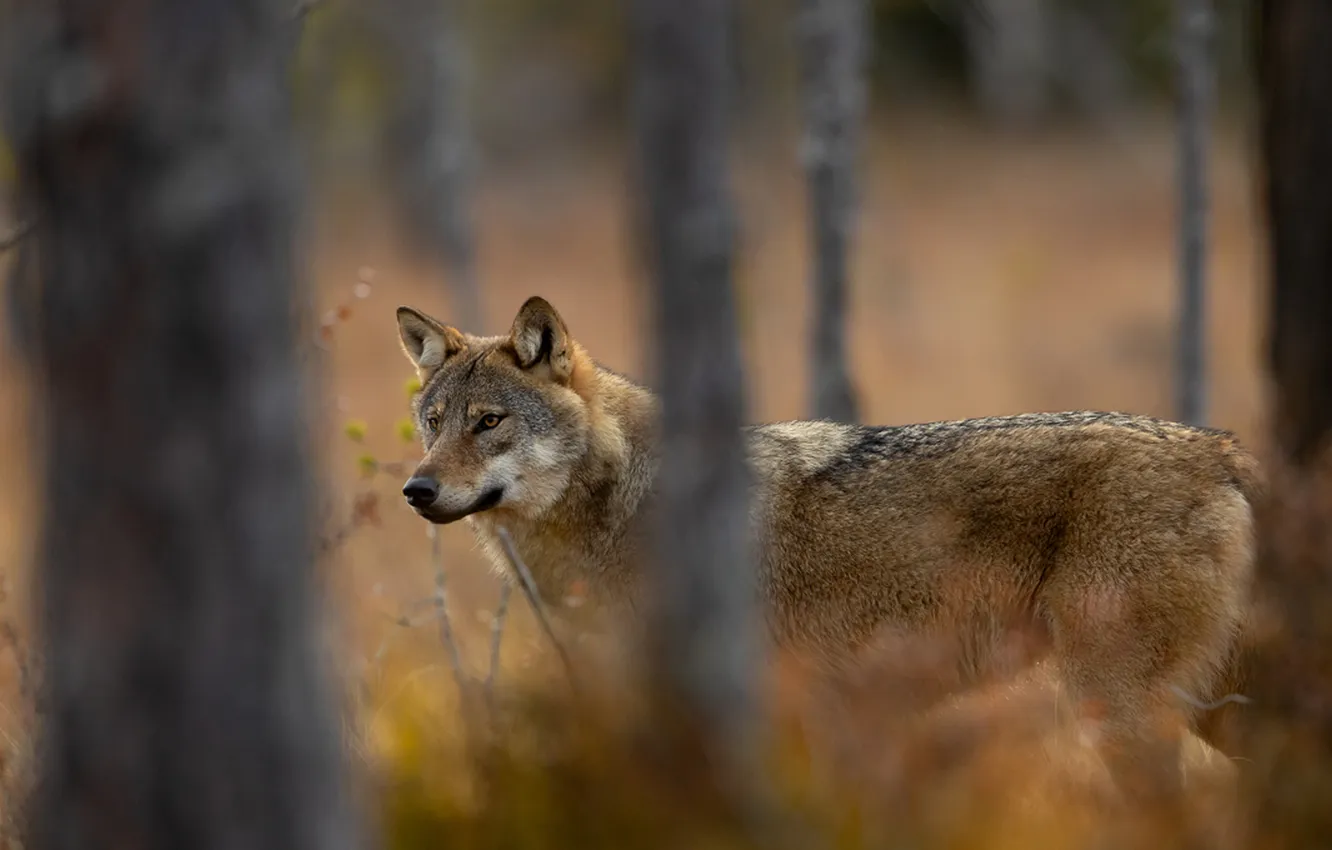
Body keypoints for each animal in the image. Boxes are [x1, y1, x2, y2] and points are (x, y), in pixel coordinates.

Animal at [394, 295, 1259, 809]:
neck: (622, 506)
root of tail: (1221, 449)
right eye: (432, 422)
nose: (416, 490)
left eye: (490, 422)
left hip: (1119, 713)